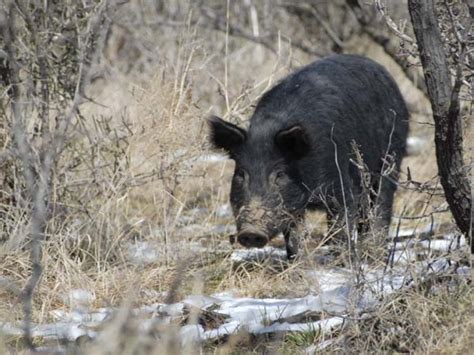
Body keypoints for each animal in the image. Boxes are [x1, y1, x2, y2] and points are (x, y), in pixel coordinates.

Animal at [209, 55, 410, 262]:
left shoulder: (340, 184)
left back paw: (376, 256)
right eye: (241, 174)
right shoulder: (294, 208)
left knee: (381, 206)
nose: (251, 232)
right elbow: (295, 238)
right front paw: (297, 263)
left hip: (391, 158)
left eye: (280, 174)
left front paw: (342, 262)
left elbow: (341, 227)